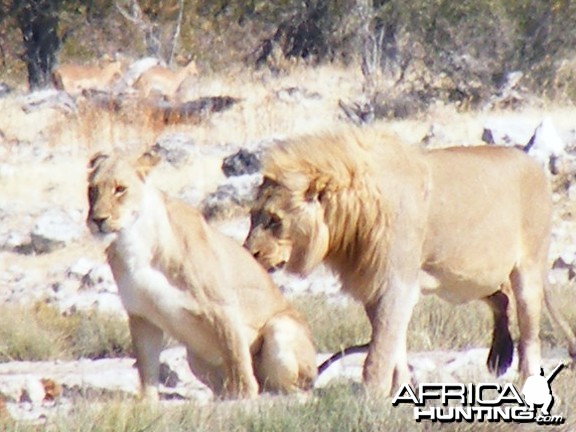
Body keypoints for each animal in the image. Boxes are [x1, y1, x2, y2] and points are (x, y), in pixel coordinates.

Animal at [88, 150, 318, 400]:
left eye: (120, 189)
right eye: (92, 190)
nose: (97, 220)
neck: (134, 240)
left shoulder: (222, 307)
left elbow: (238, 360)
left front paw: (245, 398)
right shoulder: (141, 316)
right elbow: (146, 368)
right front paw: (147, 402)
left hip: (281, 329)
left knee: (288, 387)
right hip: (194, 357)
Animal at [245, 129, 576, 398]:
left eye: (274, 220)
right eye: (252, 216)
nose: (250, 253)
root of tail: (533, 164)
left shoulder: (396, 283)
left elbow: (380, 350)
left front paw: (370, 397)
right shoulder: (374, 286)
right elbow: (393, 343)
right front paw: (399, 389)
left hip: (527, 268)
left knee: (529, 332)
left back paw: (526, 377)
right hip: (473, 274)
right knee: (500, 299)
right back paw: (499, 355)